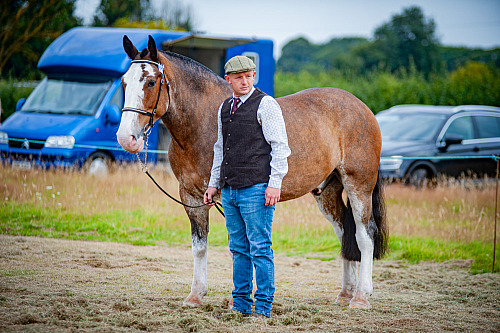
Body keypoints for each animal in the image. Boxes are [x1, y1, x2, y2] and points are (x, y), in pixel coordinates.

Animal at [116, 35, 386, 308]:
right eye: (124, 82)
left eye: (151, 82)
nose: (126, 138)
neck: (204, 121)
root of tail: (362, 108)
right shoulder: (191, 196)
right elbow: (199, 245)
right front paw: (196, 295)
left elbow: (238, 246)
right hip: (328, 191)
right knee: (344, 233)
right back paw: (346, 293)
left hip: (358, 186)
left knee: (365, 236)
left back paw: (361, 297)